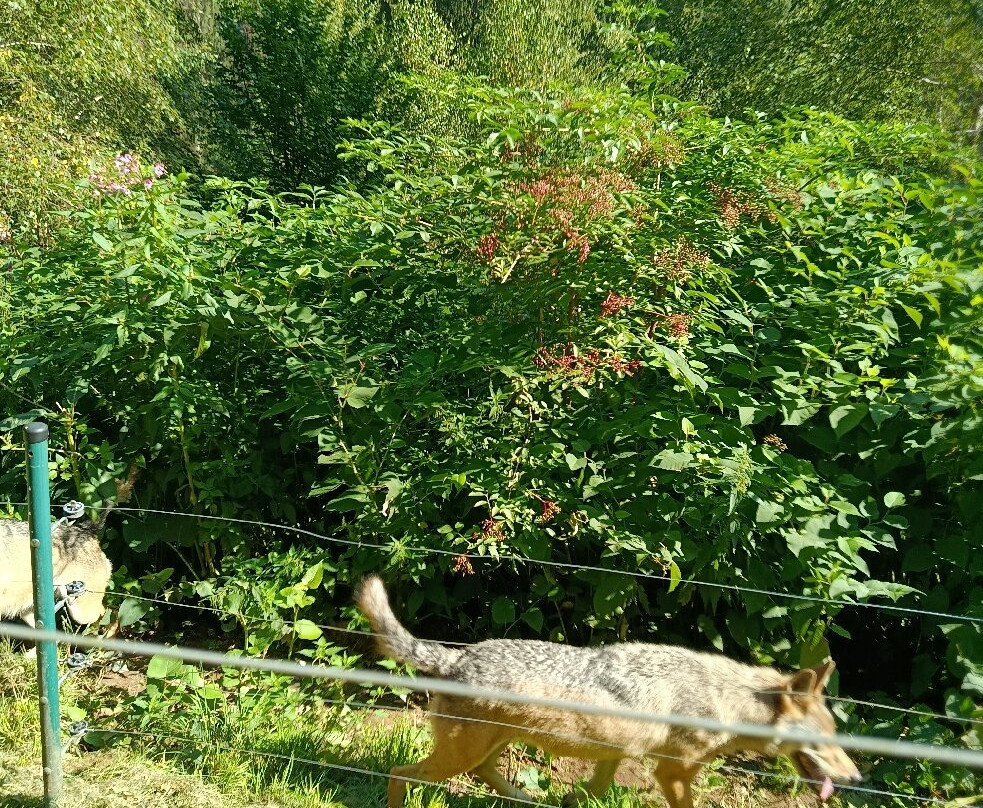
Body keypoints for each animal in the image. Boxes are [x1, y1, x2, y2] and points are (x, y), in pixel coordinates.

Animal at [356, 575, 862, 808]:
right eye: (826, 741)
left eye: (840, 738)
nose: (857, 779)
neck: (724, 701)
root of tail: (457, 658)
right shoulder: (671, 772)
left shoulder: (613, 757)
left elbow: (586, 794)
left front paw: (564, 802)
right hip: (458, 756)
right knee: (400, 774)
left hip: (486, 748)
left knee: (485, 776)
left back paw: (527, 800)